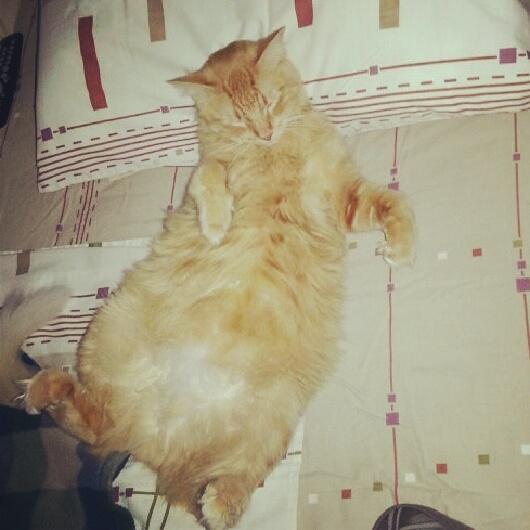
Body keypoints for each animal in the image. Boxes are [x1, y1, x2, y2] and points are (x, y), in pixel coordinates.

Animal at [20, 28, 415, 530]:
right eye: (240, 120)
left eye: (270, 102)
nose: (264, 132)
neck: (272, 152)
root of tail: (162, 432)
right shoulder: (205, 176)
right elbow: (209, 174)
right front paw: (217, 219)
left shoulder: (342, 197)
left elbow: (394, 203)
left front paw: (400, 247)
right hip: (111, 333)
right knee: (91, 423)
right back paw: (43, 388)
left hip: (274, 415)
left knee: (215, 470)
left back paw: (219, 501)